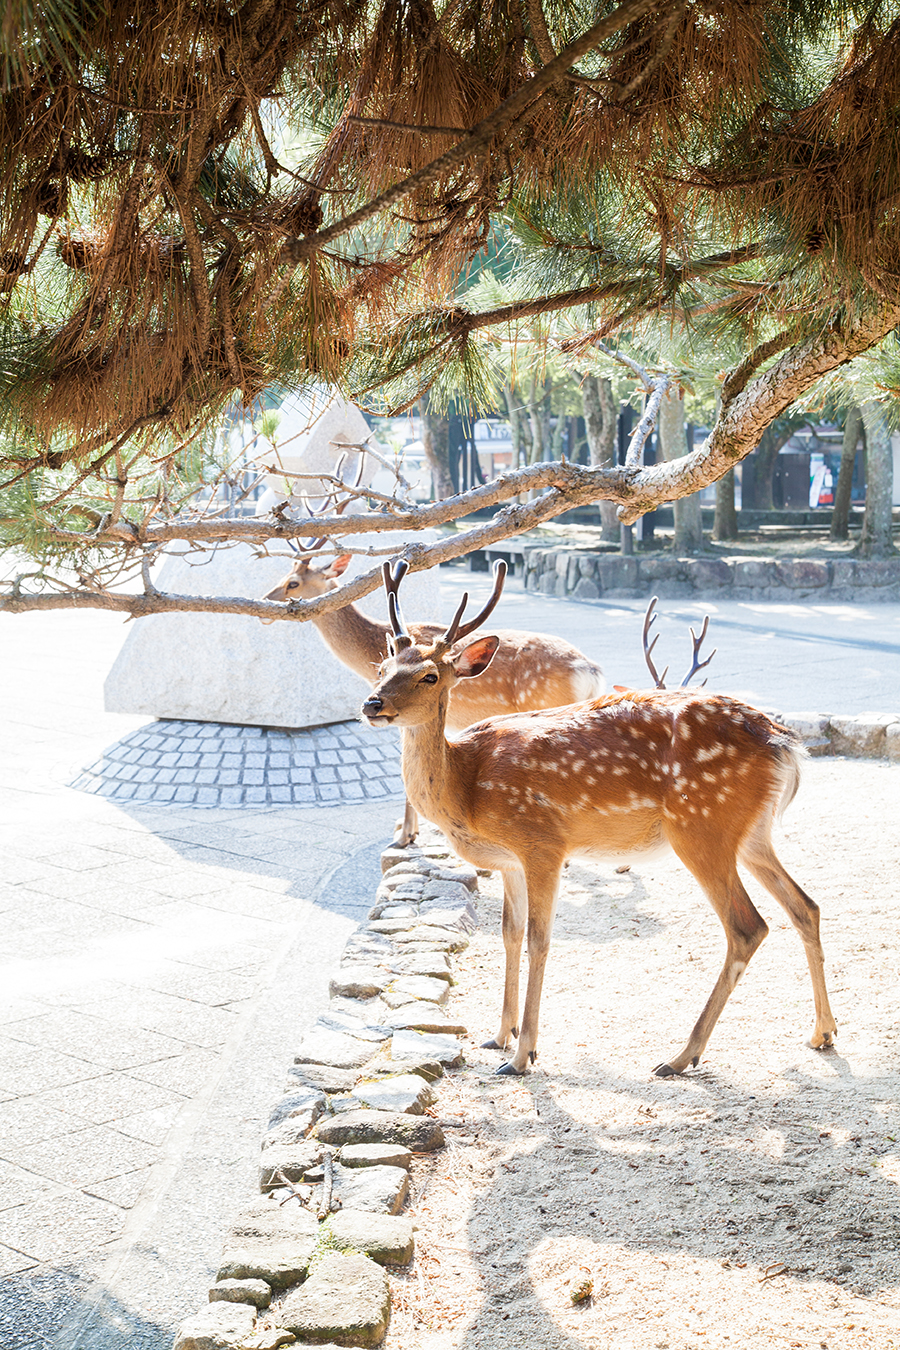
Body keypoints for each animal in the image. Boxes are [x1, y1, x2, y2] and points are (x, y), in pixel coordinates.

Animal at [264, 542, 609, 837]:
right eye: (382, 668)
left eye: (293, 583)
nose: (267, 601)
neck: (368, 653)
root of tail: (592, 671)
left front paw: (405, 834)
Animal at [361, 558, 841, 1074]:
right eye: (383, 667)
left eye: (430, 676)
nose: (372, 703)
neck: (466, 788)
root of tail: (785, 744)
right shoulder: (509, 861)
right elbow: (509, 934)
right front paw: (500, 1036)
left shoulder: (542, 843)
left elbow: (539, 940)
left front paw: (524, 1054)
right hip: (751, 832)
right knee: (805, 906)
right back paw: (822, 1032)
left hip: (700, 825)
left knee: (747, 927)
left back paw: (681, 1055)